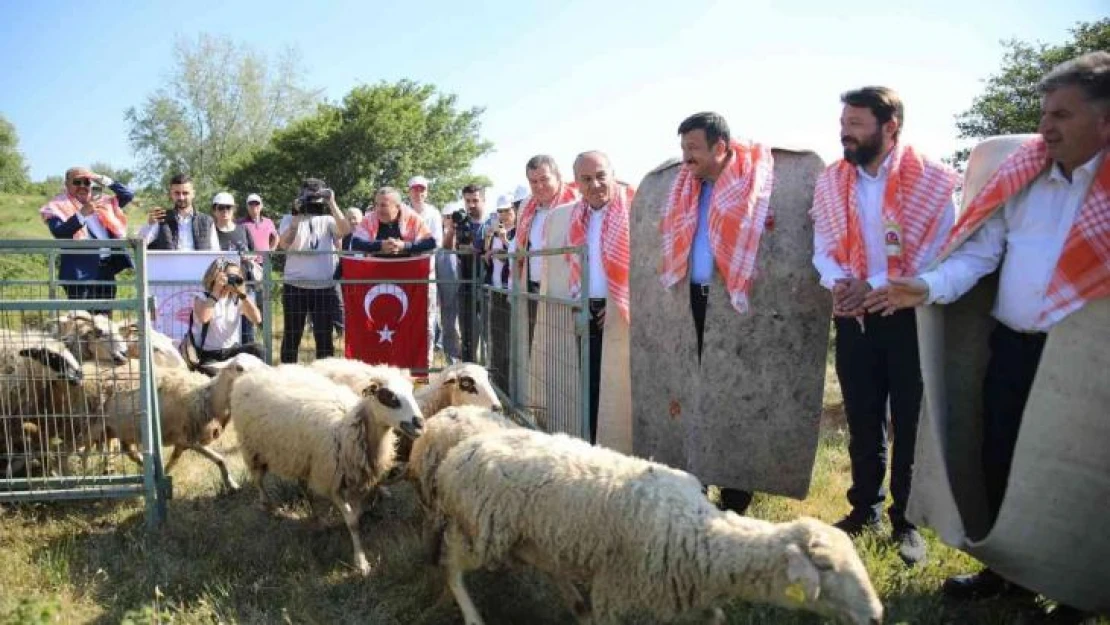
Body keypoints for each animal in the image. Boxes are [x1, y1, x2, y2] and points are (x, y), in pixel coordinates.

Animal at [92, 353, 266, 488]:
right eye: (239, 368)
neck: (207, 398)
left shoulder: (183, 441)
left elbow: (177, 459)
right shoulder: (189, 438)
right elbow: (220, 459)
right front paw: (232, 484)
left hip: (122, 429)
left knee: (128, 451)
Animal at [229, 366, 424, 577]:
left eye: (411, 391)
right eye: (388, 396)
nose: (420, 424)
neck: (349, 429)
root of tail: (251, 374)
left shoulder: (357, 483)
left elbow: (357, 516)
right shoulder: (334, 482)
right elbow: (352, 522)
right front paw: (361, 563)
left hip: (303, 458)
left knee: (303, 486)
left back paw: (318, 519)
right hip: (253, 449)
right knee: (258, 480)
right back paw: (268, 505)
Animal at [432, 430, 883, 625]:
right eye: (827, 568)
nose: (877, 616)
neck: (700, 539)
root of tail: (461, 448)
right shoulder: (618, 598)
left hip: (533, 537)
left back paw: (575, 603)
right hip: (481, 534)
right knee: (450, 565)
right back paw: (472, 615)